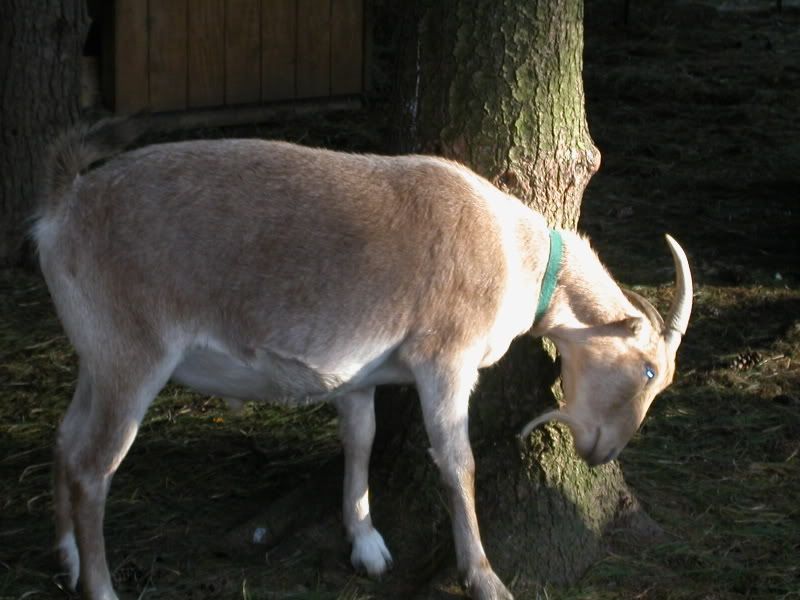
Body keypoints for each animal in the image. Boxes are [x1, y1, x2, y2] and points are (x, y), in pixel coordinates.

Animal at [33, 120, 692, 600]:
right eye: (648, 370)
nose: (602, 452)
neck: (516, 257)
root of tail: (62, 209)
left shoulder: (356, 372)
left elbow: (362, 438)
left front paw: (367, 544)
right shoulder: (445, 359)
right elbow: (458, 463)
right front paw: (485, 578)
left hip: (96, 354)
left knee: (65, 437)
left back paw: (66, 557)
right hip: (133, 353)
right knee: (94, 466)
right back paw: (99, 587)